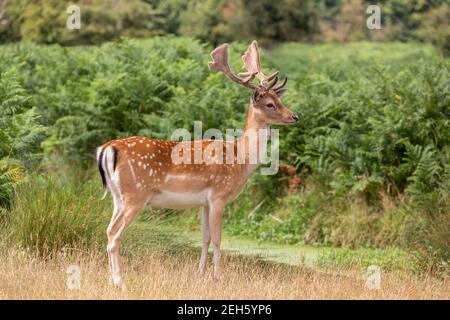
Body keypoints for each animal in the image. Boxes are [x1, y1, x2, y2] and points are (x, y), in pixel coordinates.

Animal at [96, 40, 298, 288]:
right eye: (270, 104)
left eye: (281, 100)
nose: (294, 116)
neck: (240, 161)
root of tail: (108, 149)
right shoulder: (219, 195)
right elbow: (219, 239)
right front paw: (218, 277)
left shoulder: (204, 202)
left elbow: (205, 239)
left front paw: (200, 275)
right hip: (136, 194)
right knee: (115, 234)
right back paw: (120, 282)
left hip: (117, 196)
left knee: (108, 230)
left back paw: (110, 280)